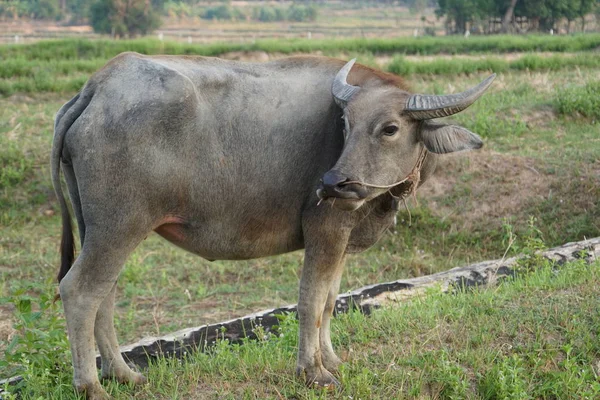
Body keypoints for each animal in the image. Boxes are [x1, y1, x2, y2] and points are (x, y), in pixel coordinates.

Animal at [50, 52, 492, 396]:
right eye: (346, 125)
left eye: (390, 128)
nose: (333, 183)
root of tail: (98, 87)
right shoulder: (325, 229)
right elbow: (310, 300)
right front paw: (313, 372)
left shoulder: (343, 239)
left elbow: (330, 300)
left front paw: (332, 358)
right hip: (119, 226)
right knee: (80, 291)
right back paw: (92, 385)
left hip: (99, 228)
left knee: (104, 295)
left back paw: (123, 374)